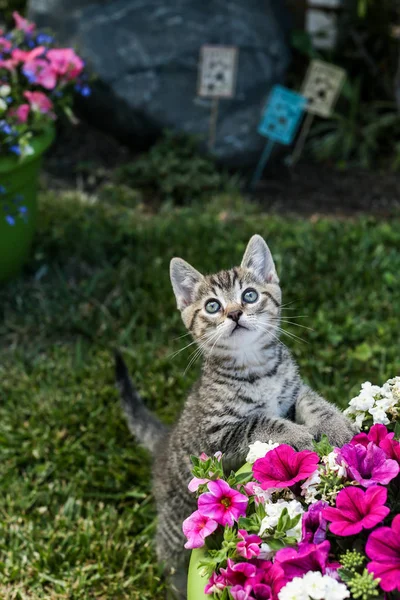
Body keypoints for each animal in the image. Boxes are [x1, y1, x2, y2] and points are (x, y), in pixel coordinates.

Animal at [116, 233, 356, 596]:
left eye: (250, 295)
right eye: (213, 306)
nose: (235, 313)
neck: (255, 368)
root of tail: (162, 443)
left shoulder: (292, 390)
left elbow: (311, 401)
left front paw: (335, 424)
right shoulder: (220, 433)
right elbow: (262, 420)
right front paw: (297, 435)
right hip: (175, 521)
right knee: (168, 554)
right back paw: (177, 585)